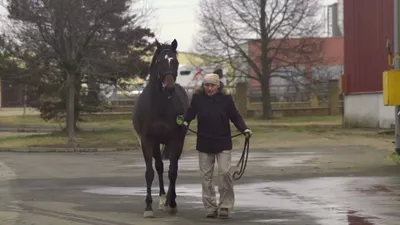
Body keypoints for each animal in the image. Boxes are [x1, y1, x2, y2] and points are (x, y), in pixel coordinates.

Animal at [132, 38, 190, 218]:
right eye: (160, 61)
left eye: (175, 61)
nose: (169, 87)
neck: (160, 107)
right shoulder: (147, 141)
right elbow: (150, 172)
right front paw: (148, 207)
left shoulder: (175, 140)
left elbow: (173, 171)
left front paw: (172, 204)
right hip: (157, 143)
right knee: (158, 167)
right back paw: (162, 198)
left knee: (172, 168)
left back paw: (169, 200)